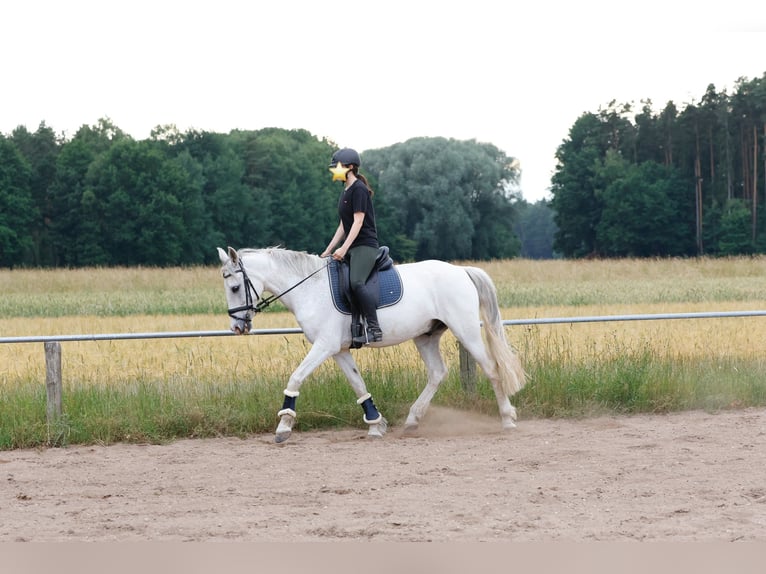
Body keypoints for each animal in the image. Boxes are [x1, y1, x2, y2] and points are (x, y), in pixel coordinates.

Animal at [217, 246, 526, 443]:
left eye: (235, 287)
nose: (237, 327)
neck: (309, 288)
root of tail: (461, 271)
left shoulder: (324, 346)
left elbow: (296, 377)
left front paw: (284, 426)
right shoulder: (339, 350)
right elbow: (358, 384)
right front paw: (376, 423)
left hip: (466, 331)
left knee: (491, 369)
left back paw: (507, 419)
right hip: (426, 336)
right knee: (437, 373)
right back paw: (412, 421)